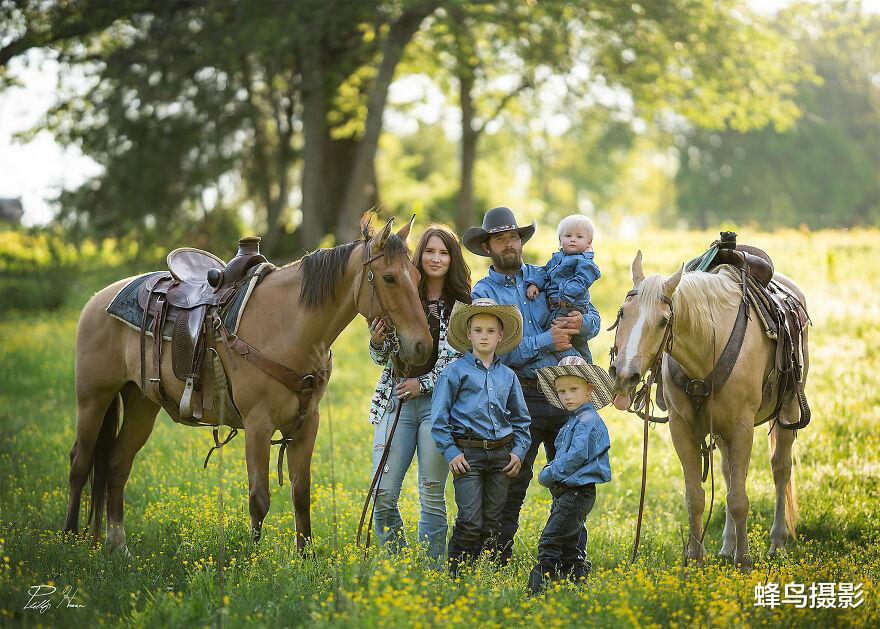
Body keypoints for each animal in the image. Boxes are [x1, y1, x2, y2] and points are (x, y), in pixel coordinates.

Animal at [63, 217, 432, 556]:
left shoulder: (306, 424)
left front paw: (306, 560)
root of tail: (98, 300)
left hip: (142, 402)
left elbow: (301, 494)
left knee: (116, 465)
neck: (289, 326)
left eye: (417, 278)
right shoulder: (258, 424)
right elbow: (259, 498)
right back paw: (69, 540)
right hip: (93, 398)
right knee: (80, 463)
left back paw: (118, 545)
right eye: (389, 277)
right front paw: (253, 564)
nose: (422, 346)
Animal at [608, 250, 808, 568]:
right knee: (726, 473)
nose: (624, 375)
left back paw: (776, 543)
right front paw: (695, 558)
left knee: (780, 469)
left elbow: (739, 499)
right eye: (622, 312)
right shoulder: (682, 429)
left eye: (664, 321)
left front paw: (744, 560)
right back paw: (727, 546)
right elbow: (696, 496)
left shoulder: (742, 428)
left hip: (787, 411)